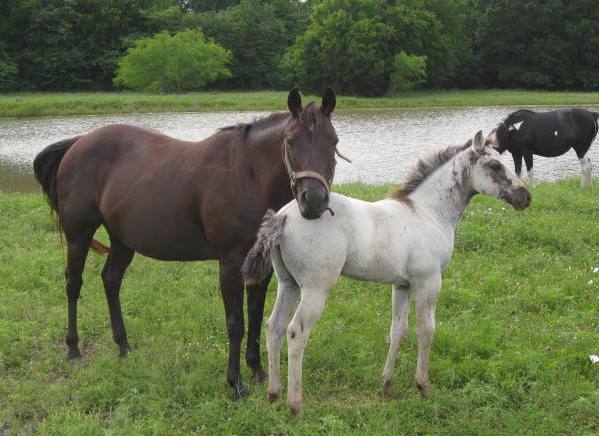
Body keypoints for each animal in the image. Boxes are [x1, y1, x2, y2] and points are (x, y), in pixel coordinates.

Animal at [34, 88, 342, 398]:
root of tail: (78, 143)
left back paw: (123, 345)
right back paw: (73, 349)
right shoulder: (230, 263)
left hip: (122, 239)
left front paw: (256, 369)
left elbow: (255, 315)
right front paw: (236, 382)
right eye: (290, 141)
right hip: (79, 236)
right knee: (73, 284)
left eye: (334, 141)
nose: (314, 201)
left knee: (111, 280)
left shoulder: (261, 265)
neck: (249, 176)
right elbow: (235, 322)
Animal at [241, 131, 532, 418]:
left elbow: (398, 330)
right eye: (494, 165)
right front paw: (423, 386)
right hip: (315, 289)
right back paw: (295, 406)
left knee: (274, 326)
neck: (428, 213)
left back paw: (273, 394)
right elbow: (426, 330)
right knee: (296, 332)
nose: (525, 197)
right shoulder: (429, 281)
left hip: (287, 283)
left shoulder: (402, 285)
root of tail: (283, 217)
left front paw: (387, 386)